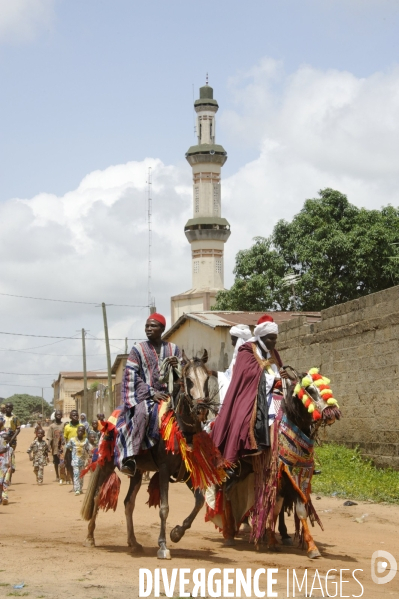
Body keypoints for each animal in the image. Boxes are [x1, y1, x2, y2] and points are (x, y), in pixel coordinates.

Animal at [80, 350, 222, 560]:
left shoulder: (186, 472)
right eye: (188, 380)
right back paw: (90, 537)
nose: (201, 410)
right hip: (107, 464)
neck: (182, 428)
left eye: (206, 379)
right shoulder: (163, 470)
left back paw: (133, 542)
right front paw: (163, 546)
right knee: (98, 496)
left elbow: (199, 501)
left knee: (128, 503)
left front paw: (177, 533)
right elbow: (164, 508)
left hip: (137, 472)